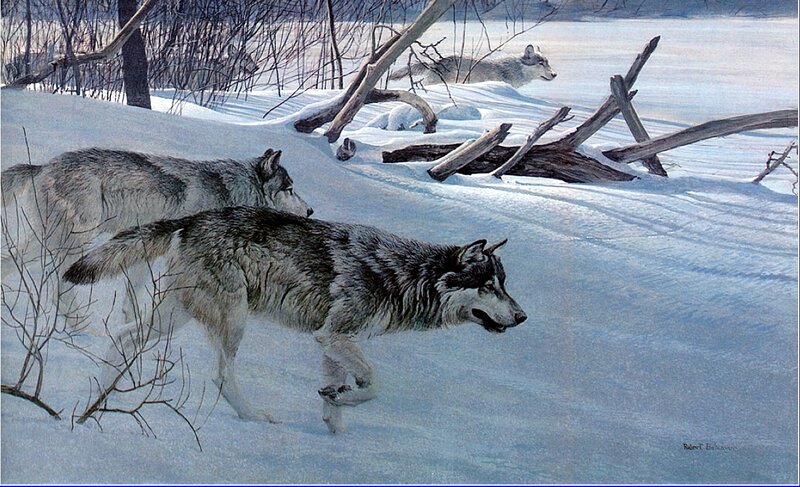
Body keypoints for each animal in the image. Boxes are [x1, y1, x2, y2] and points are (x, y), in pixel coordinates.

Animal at [1, 148, 311, 326]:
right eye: (290, 189)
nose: (310, 211)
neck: (230, 191)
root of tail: (43, 166)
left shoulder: (143, 249)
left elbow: (132, 296)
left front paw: (130, 324)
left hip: (46, 242)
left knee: (10, 260)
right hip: (75, 242)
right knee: (59, 284)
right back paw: (80, 326)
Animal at [63, 206, 527, 433]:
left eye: (504, 284)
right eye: (489, 286)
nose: (523, 317)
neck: (401, 275)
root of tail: (192, 219)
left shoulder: (332, 341)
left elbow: (339, 400)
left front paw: (334, 420)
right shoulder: (333, 336)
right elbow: (375, 385)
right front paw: (343, 397)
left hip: (173, 319)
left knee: (123, 335)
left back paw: (96, 397)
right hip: (233, 320)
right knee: (220, 376)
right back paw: (256, 418)